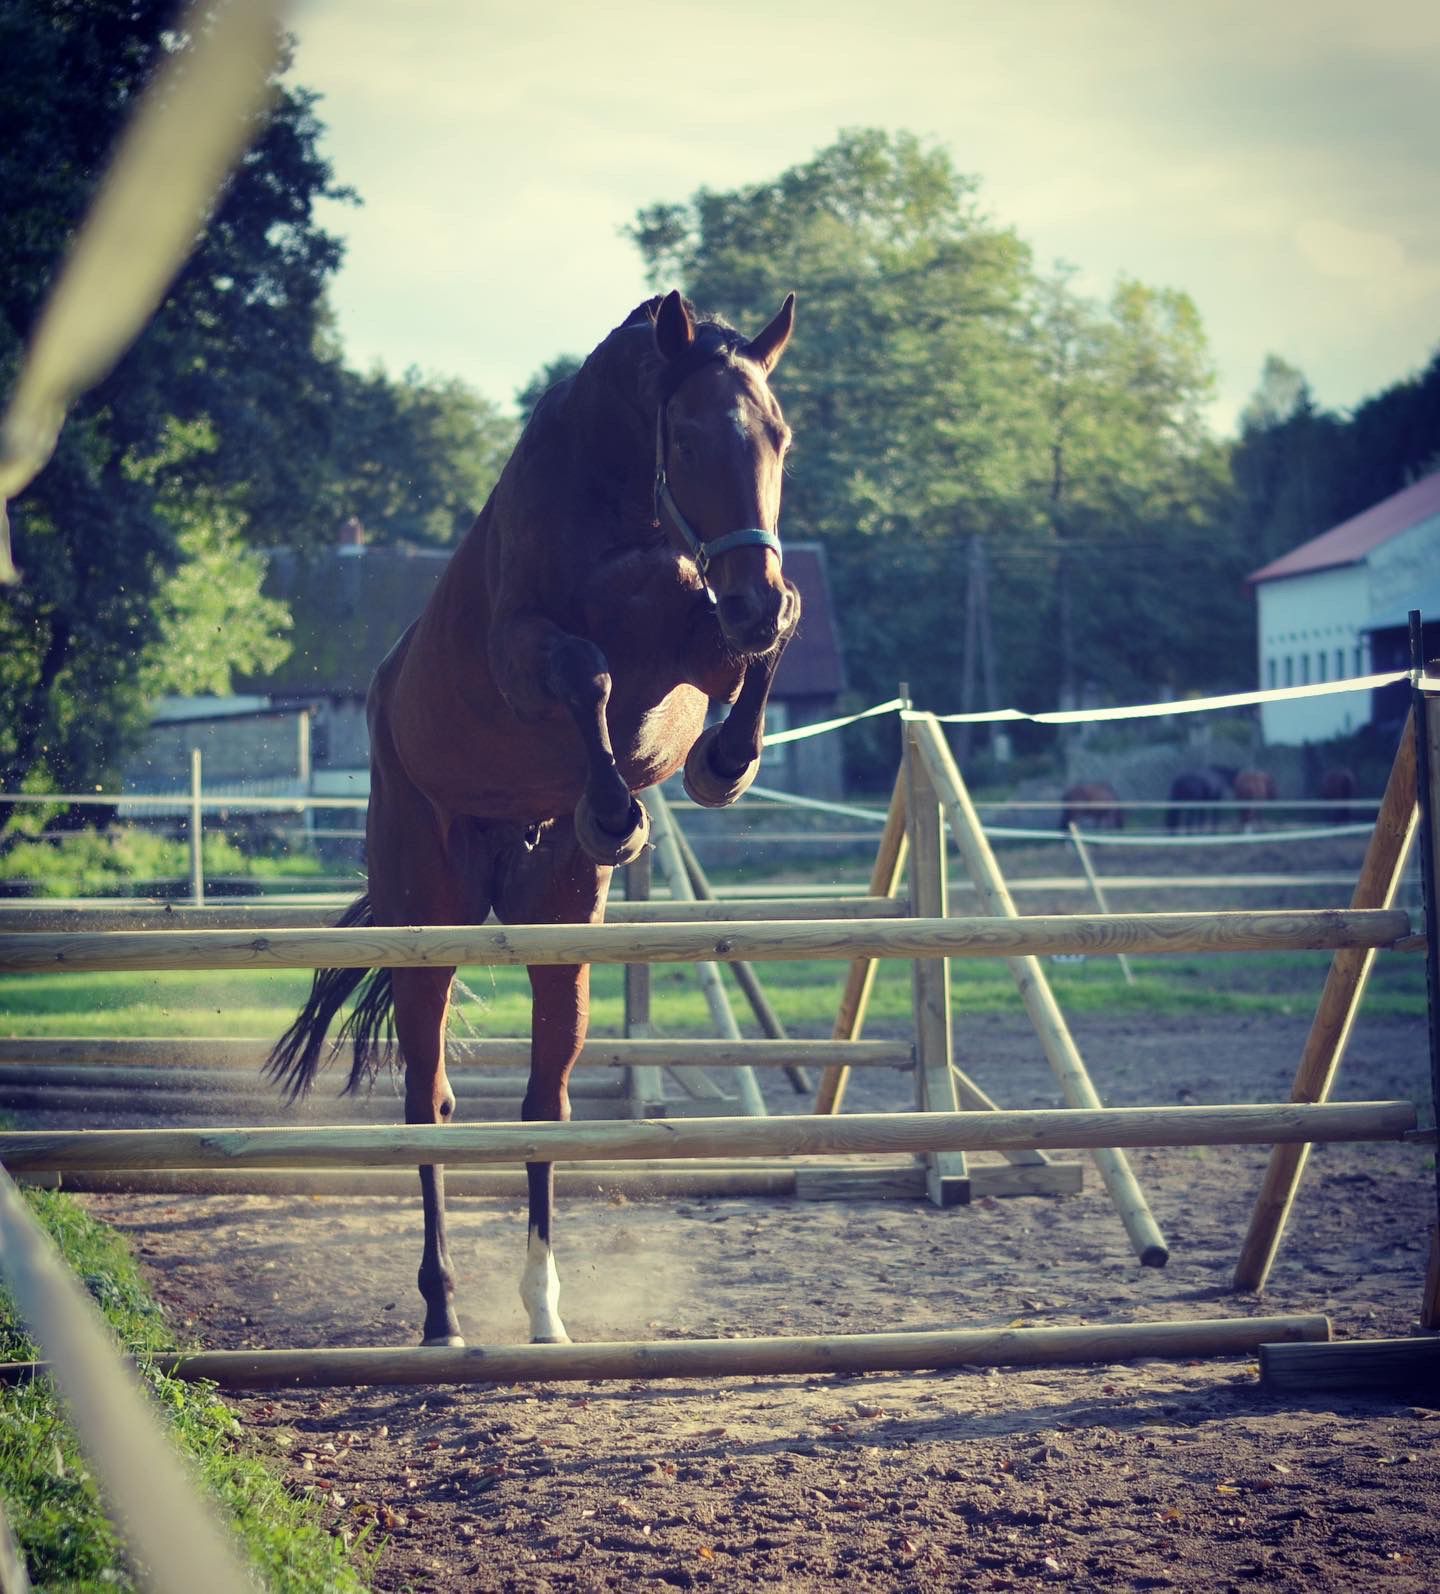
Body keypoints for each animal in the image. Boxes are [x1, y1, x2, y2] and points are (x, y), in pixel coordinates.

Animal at [267, 290, 800, 1345]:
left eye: (780, 437)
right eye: (686, 435)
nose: (749, 596)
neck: (625, 506)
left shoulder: (703, 640)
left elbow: (768, 644)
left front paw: (722, 765)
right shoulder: (526, 652)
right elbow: (585, 671)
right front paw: (616, 808)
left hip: (562, 935)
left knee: (543, 1101)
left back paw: (544, 1309)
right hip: (427, 922)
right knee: (426, 1103)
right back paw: (442, 1311)